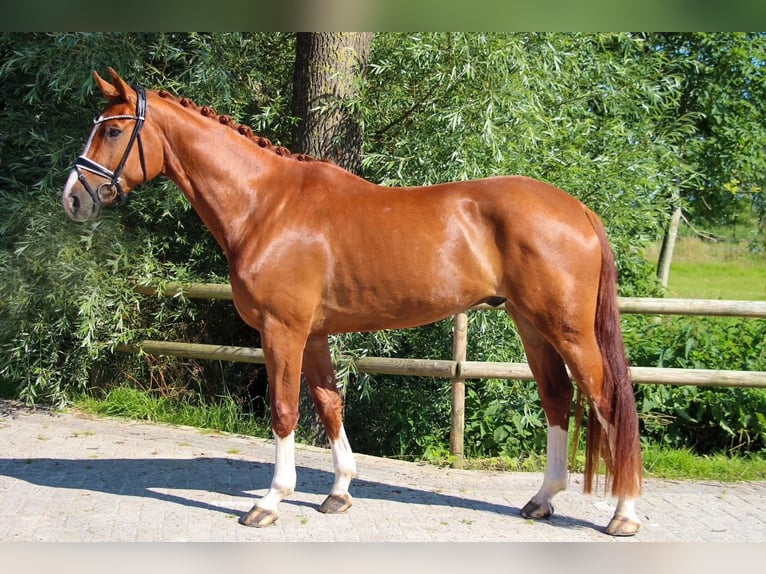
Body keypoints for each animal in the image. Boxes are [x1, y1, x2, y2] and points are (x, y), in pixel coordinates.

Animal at [63, 70, 644, 536]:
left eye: (112, 130)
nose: (72, 197)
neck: (266, 205)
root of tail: (577, 209)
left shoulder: (282, 330)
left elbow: (284, 410)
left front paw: (270, 501)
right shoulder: (314, 333)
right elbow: (328, 403)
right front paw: (339, 491)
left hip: (568, 330)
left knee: (608, 401)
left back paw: (625, 514)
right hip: (532, 326)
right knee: (557, 399)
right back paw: (542, 500)